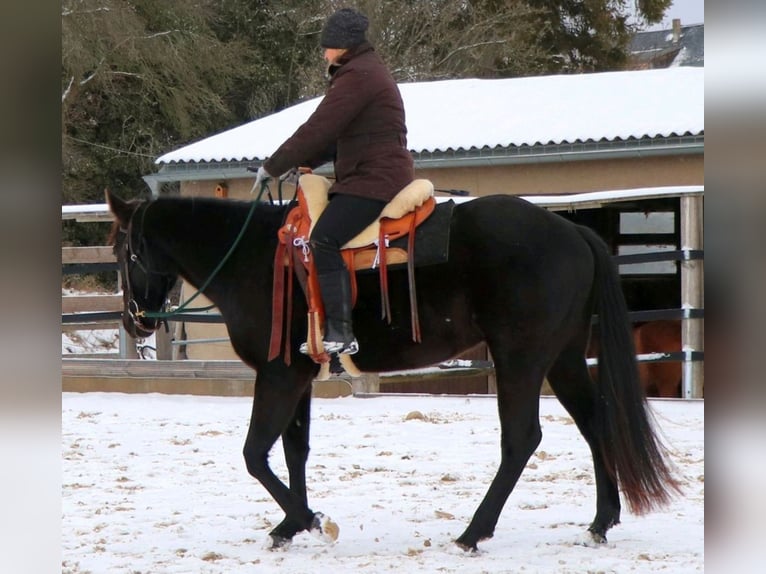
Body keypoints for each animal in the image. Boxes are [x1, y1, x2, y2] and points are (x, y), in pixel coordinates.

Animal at [106, 187, 679, 552]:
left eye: (124, 251)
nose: (133, 322)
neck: (254, 259)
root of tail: (572, 231)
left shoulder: (277, 375)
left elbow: (253, 454)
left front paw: (308, 520)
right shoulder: (299, 378)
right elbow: (293, 451)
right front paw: (292, 523)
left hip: (521, 358)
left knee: (521, 438)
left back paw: (473, 532)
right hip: (562, 358)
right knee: (594, 424)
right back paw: (601, 521)